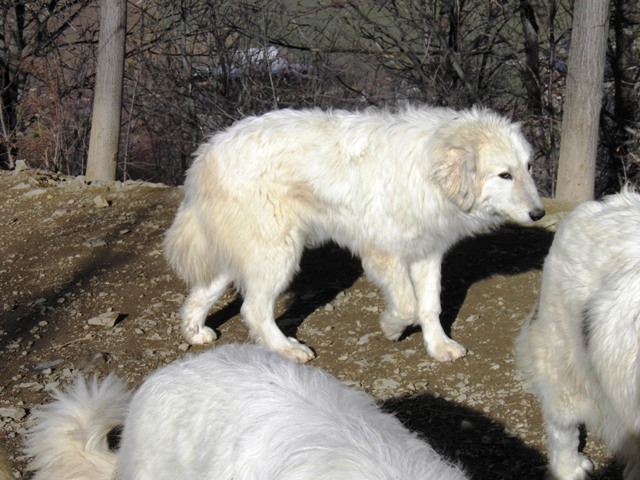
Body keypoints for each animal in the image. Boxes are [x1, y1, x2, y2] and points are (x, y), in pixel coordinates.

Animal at [165, 105, 544, 362]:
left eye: (528, 168)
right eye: (504, 175)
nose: (539, 213)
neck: (428, 174)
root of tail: (206, 153)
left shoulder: (427, 253)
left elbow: (430, 305)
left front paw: (438, 346)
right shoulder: (383, 254)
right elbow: (407, 305)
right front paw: (392, 328)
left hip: (245, 251)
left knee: (203, 292)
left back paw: (195, 332)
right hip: (278, 252)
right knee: (254, 309)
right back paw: (286, 349)